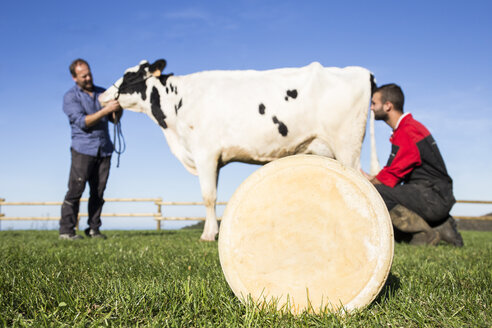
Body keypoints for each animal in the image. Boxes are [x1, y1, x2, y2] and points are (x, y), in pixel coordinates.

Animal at [98, 59, 378, 241]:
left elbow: (208, 196)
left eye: (129, 76)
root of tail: (363, 72)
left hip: (347, 145)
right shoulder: (216, 158)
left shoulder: (205, 152)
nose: (101, 96)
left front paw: (208, 234)